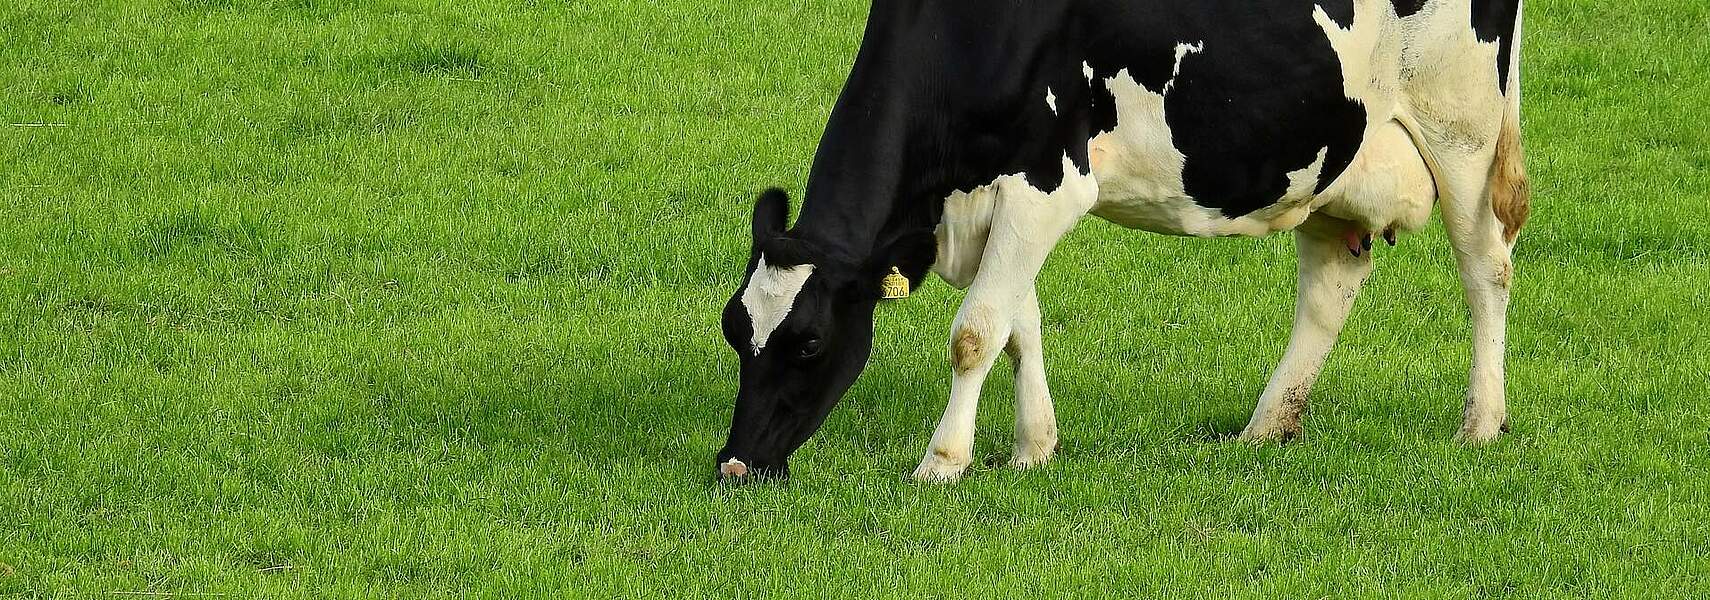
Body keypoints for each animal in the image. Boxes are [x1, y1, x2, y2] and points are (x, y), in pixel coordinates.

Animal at [714, 0, 1532, 485]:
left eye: (811, 344)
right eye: (733, 331)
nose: (733, 464)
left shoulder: (1048, 182)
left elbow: (977, 332)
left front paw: (943, 463)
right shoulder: (999, 201)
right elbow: (1019, 325)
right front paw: (1033, 447)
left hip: (1462, 130)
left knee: (1485, 270)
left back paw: (1481, 424)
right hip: (1333, 159)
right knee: (1330, 289)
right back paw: (1264, 428)